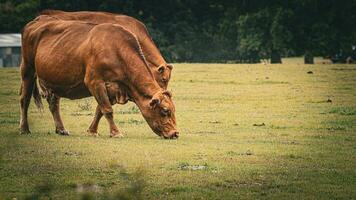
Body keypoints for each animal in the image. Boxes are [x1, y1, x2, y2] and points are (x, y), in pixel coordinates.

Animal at [19, 16, 179, 139]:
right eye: (165, 111)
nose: (175, 133)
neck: (117, 51)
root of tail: (37, 20)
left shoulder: (113, 88)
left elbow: (100, 110)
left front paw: (92, 131)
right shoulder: (94, 82)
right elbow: (107, 109)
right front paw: (116, 133)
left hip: (54, 81)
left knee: (54, 103)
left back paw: (61, 129)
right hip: (28, 70)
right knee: (24, 99)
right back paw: (24, 129)